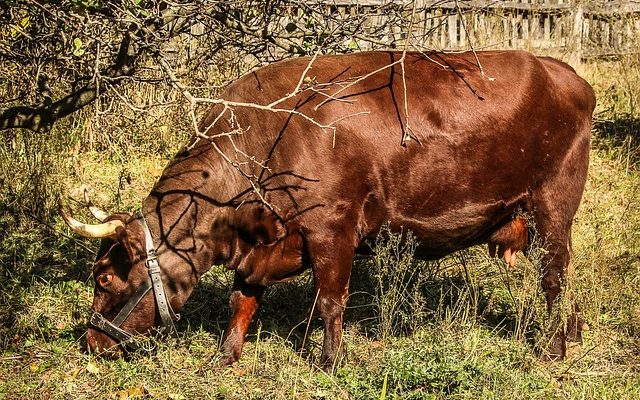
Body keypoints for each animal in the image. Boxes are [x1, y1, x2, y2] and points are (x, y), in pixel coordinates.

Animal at [61, 50, 596, 368]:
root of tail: (563, 71)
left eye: (104, 277)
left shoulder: (332, 228)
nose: (90, 342)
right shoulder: (261, 245)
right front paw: (226, 355)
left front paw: (328, 361)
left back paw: (553, 348)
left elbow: (331, 300)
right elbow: (242, 299)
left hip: (553, 205)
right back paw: (569, 334)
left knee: (554, 277)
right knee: (563, 278)